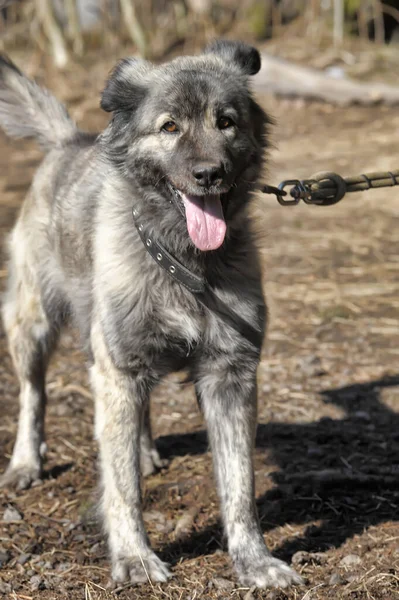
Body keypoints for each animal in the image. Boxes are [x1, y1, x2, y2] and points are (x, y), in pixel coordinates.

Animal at [0, 42, 302, 592]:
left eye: (226, 122)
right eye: (169, 127)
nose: (209, 174)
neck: (181, 258)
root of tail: (68, 141)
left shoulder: (231, 375)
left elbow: (239, 485)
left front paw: (254, 561)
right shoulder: (119, 370)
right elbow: (122, 489)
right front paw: (134, 558)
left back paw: (143, 453)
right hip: (34, 327)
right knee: (34, 395)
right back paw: (26, 461)